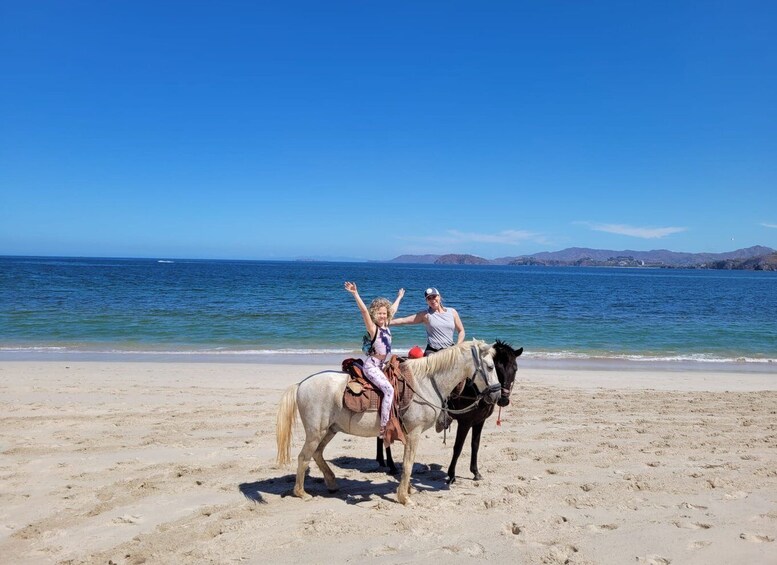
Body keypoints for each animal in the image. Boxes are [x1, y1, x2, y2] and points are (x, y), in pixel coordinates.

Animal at [276, 340, 500, 502]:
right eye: (490, 367)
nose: (497, 395)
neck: (426, 382)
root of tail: (301, 384)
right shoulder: (414, 432)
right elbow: (408, 464)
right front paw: (404, 497)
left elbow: (408, 463)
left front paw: (408, 490)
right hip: (316, 432)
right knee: (303, 457)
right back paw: (302, 493)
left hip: (330, 430)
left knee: (317, 454)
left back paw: (331, 483)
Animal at [376, 338, 520, 482]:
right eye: (496, 367)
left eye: (515, 369)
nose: (503, 399)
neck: (472, 389)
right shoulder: (465, 423)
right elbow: (458, 447)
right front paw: (451, 475)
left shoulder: (479, 421)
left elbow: (475, 445)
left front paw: (475, 472)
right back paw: (391, 465)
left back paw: (381, 460)